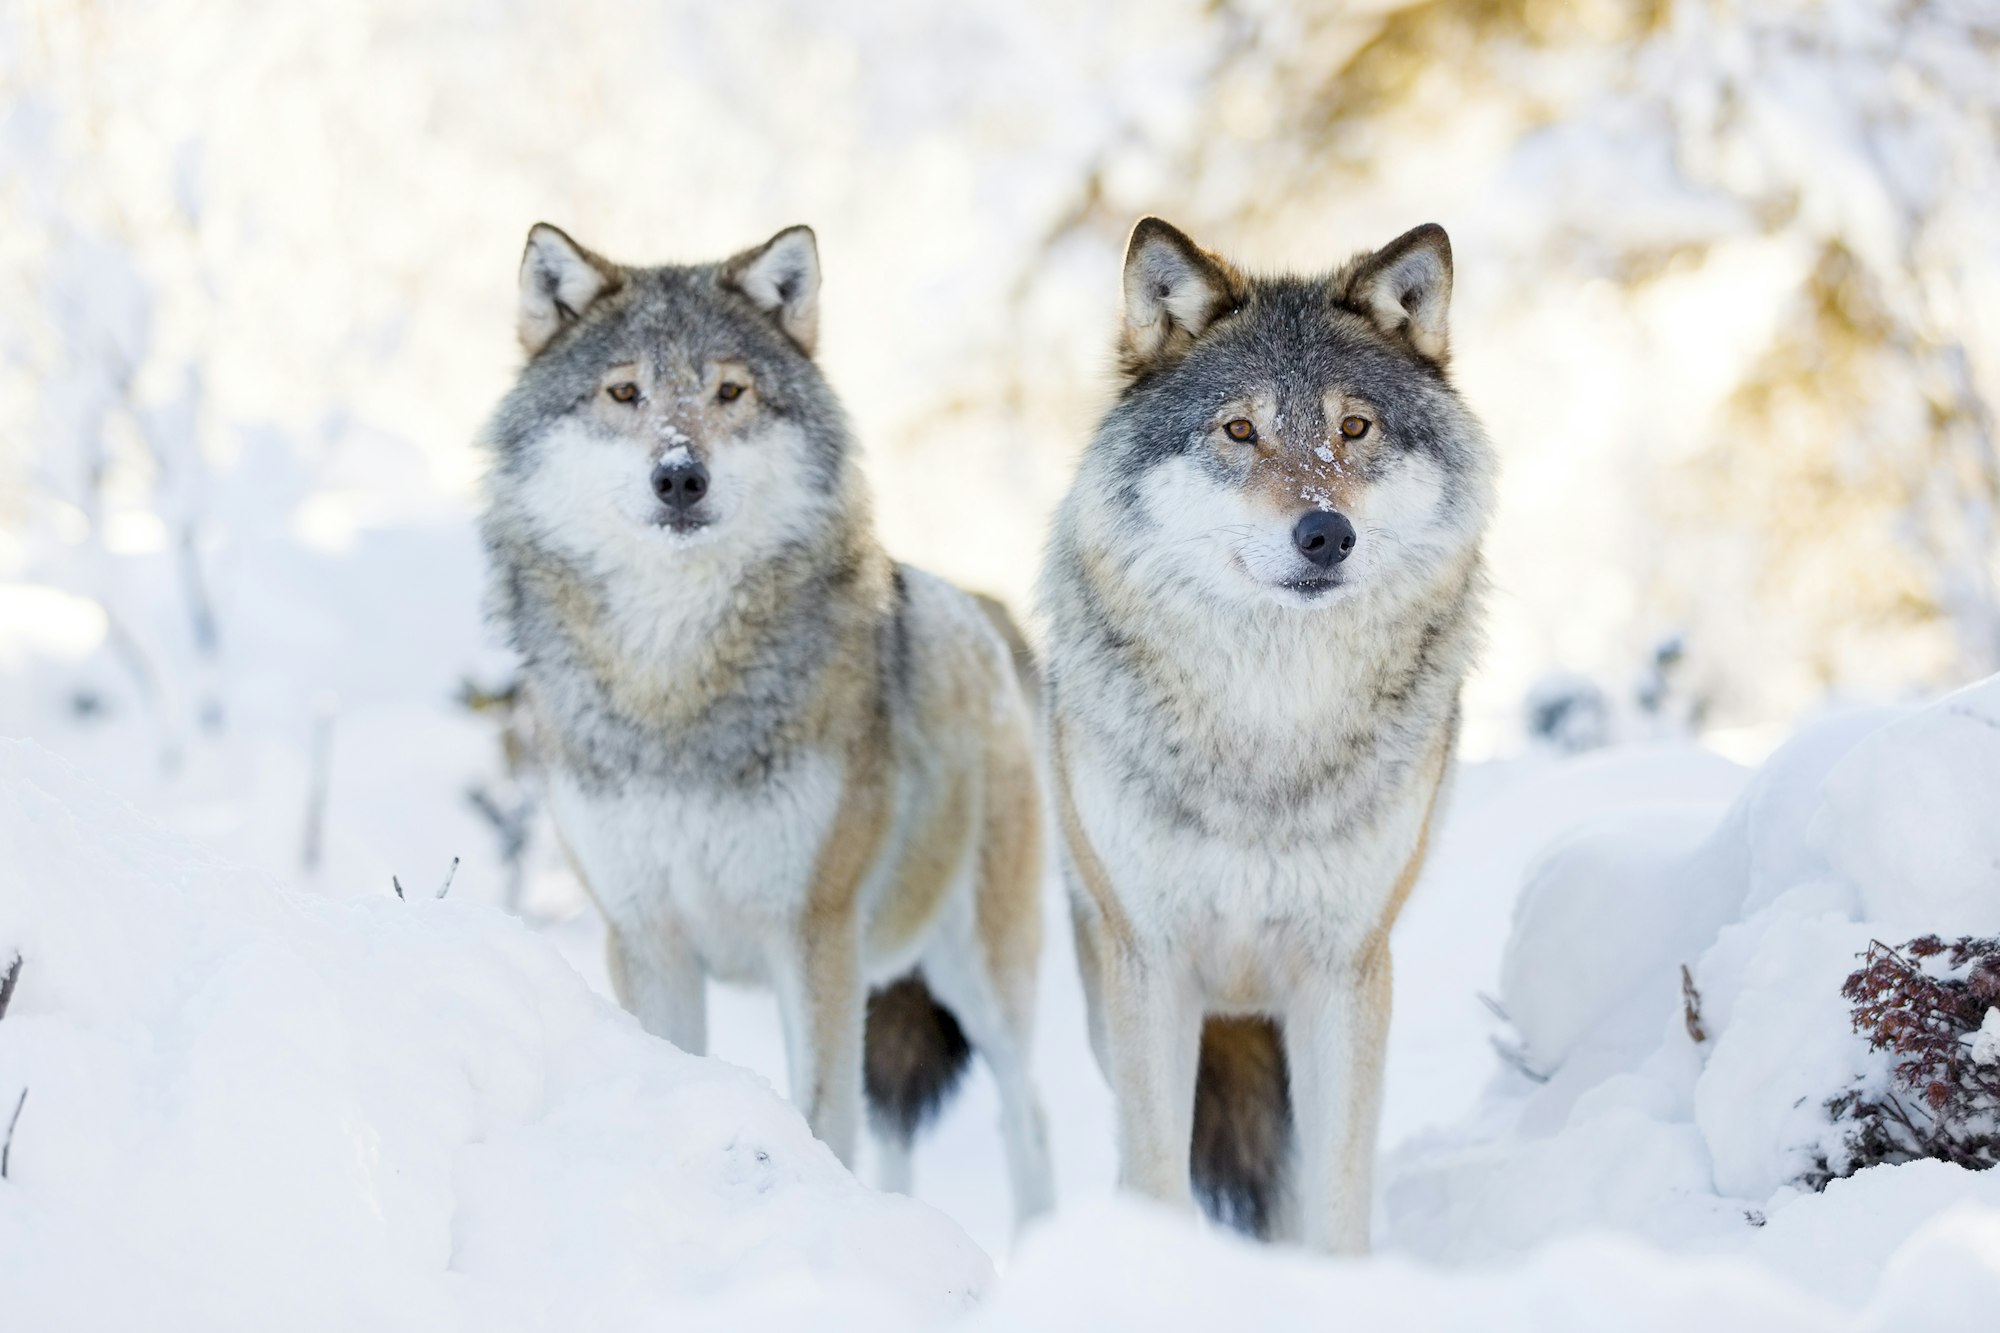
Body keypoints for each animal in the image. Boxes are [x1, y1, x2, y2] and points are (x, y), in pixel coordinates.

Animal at [479, 223, 1053, 1223]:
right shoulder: (647, 936)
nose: (679, 474)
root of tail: (982, 615)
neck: (673, 686)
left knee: (1031, 1120)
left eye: (729, 391)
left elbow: (821, 1118)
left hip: (981, 977)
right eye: (624, 392)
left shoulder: (811, 932)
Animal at [1038, 217, 1494, 1251]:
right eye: (1239, 430)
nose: (1326, 534)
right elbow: (1158, 1175)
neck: (1269, 728)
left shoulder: (1346, 971)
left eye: (1354, 428)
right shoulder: (1151, 963)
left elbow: (1336, 1196)